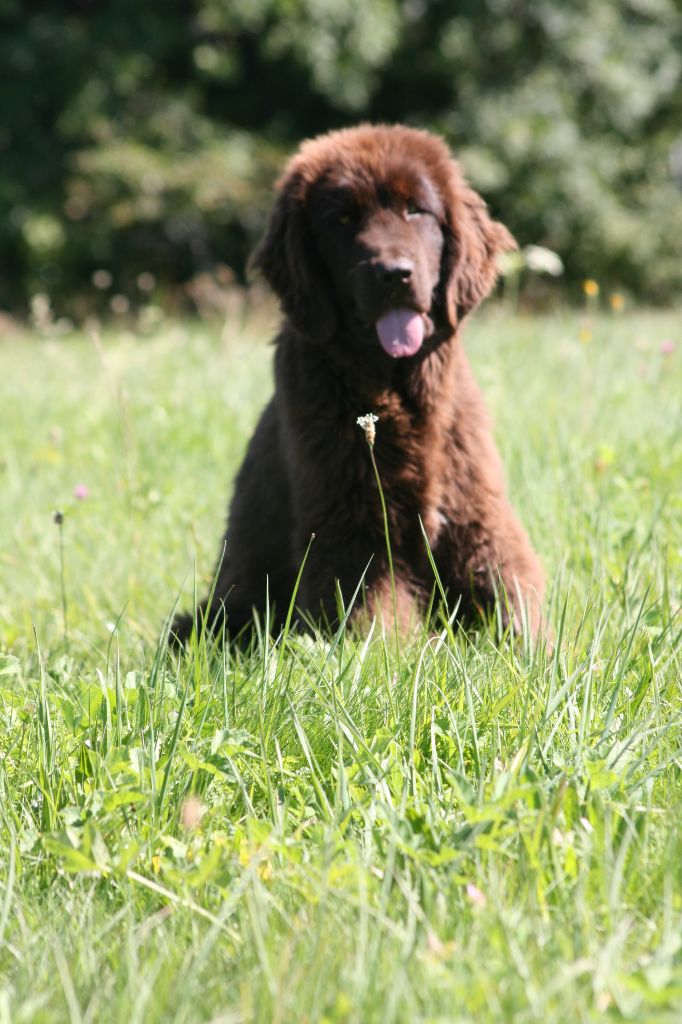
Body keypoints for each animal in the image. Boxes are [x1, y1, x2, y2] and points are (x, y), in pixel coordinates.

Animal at [173, 123, 544, 643]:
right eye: (344, 219)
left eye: (416, 210)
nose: (395, 275)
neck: (396, 390)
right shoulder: (350, 536)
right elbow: (374, 622)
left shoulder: (478, 518)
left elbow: (513, 601)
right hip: (214, 615)